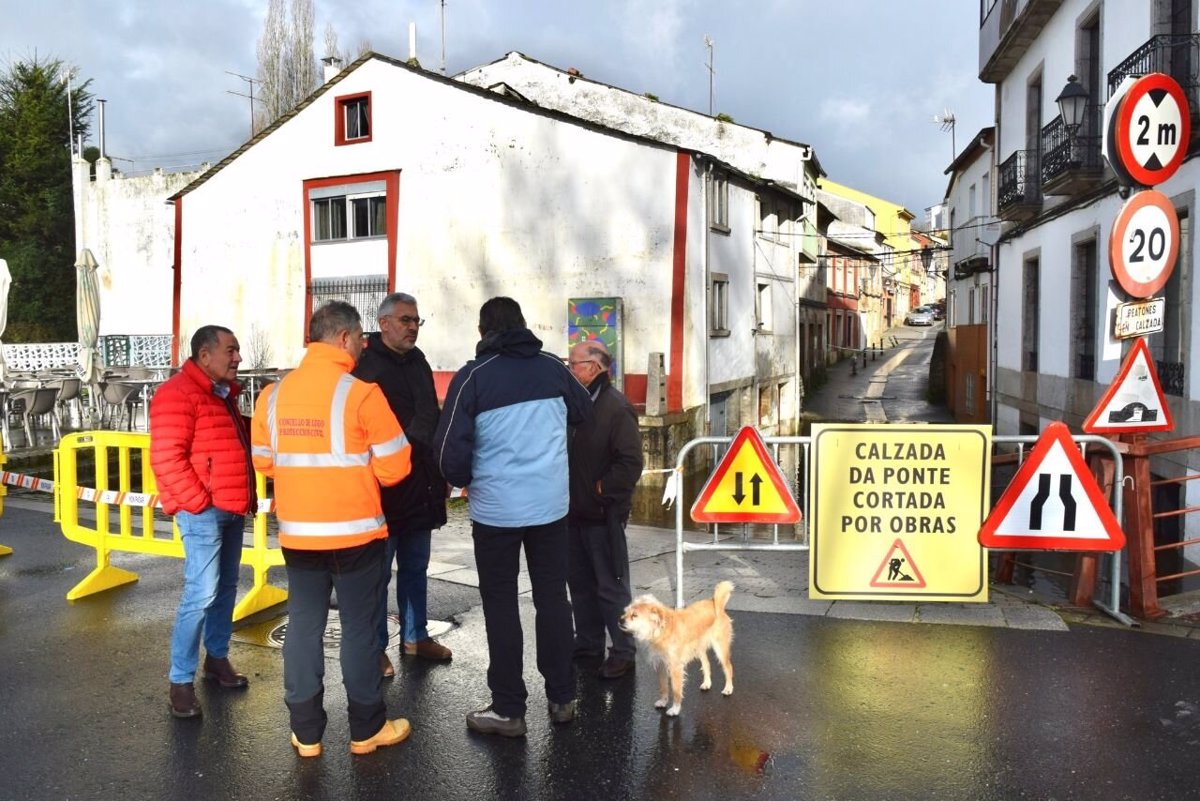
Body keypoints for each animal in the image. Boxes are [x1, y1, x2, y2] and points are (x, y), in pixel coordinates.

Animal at [624, 582, 734, 714]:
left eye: (634, 615)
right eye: (625, 613)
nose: (619, 620)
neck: (660, 631)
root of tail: (714, 602)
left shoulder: (675, 667)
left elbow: (676, 690)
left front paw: (675, 709)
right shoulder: (661, 665)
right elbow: (663, 687)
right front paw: (663, 701)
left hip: (720, 649)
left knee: (728, 668)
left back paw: (728, 688)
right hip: (699, 648)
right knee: (707, 664)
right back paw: (707, 683)